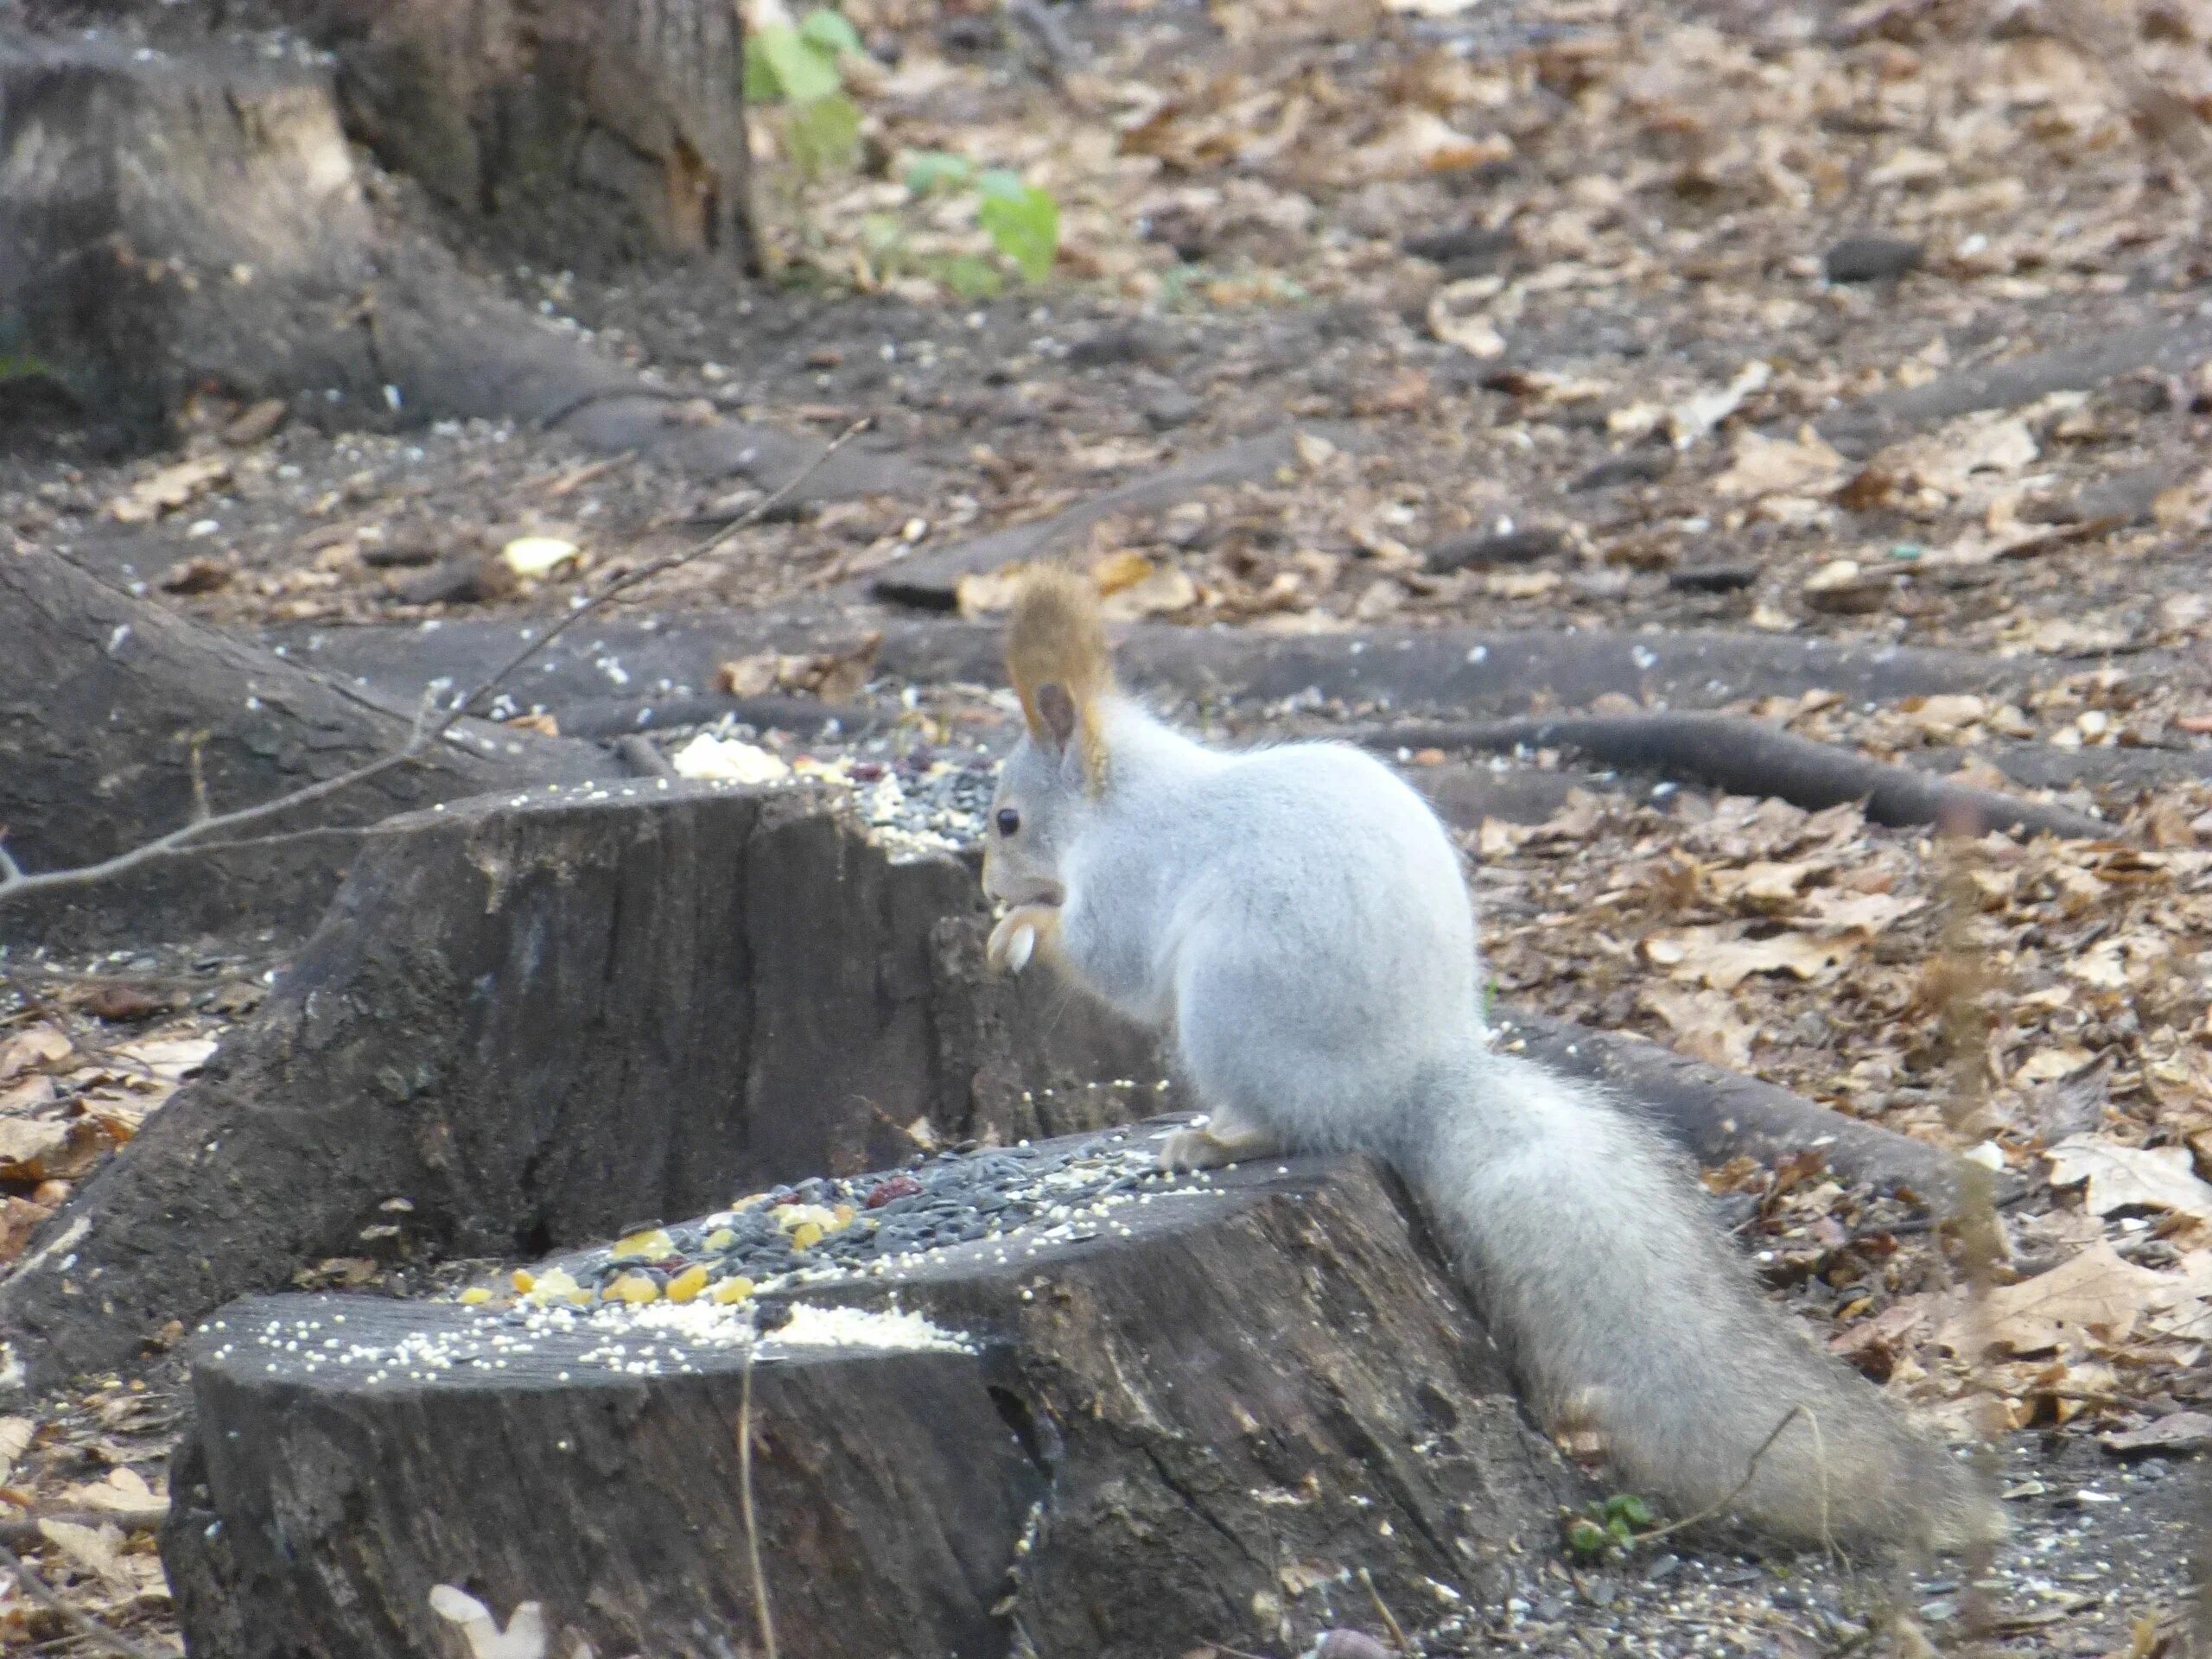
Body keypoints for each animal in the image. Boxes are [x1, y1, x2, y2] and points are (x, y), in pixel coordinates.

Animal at [982, 570, 2008, 1557]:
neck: (1119, 800)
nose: (988, 885)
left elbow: (1109, 963)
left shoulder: (1127, 884)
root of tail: (1401, 1091)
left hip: (1229, 1009)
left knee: (1286, 1123)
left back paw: (1214, 1140)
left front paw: (1019, 929)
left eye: (1005, 820)